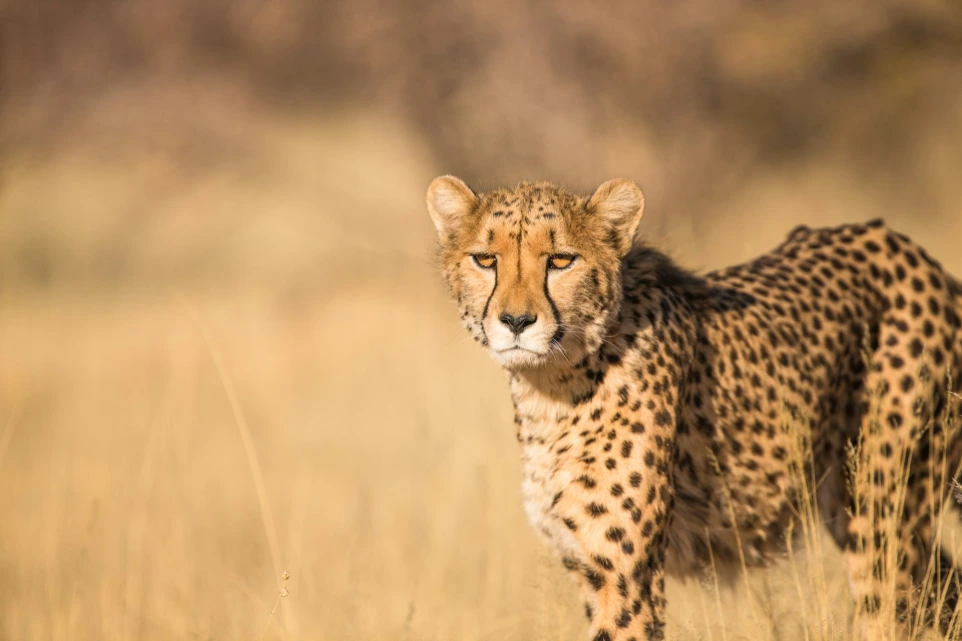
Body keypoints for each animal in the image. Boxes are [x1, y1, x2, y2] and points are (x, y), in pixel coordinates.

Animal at [425, 175, 962, 641]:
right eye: (485, 259)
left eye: (560, 260)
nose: (516, 321)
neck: (552, 386)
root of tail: (907, 248)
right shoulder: (587, 566)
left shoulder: (626, 576)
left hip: (884, 517)